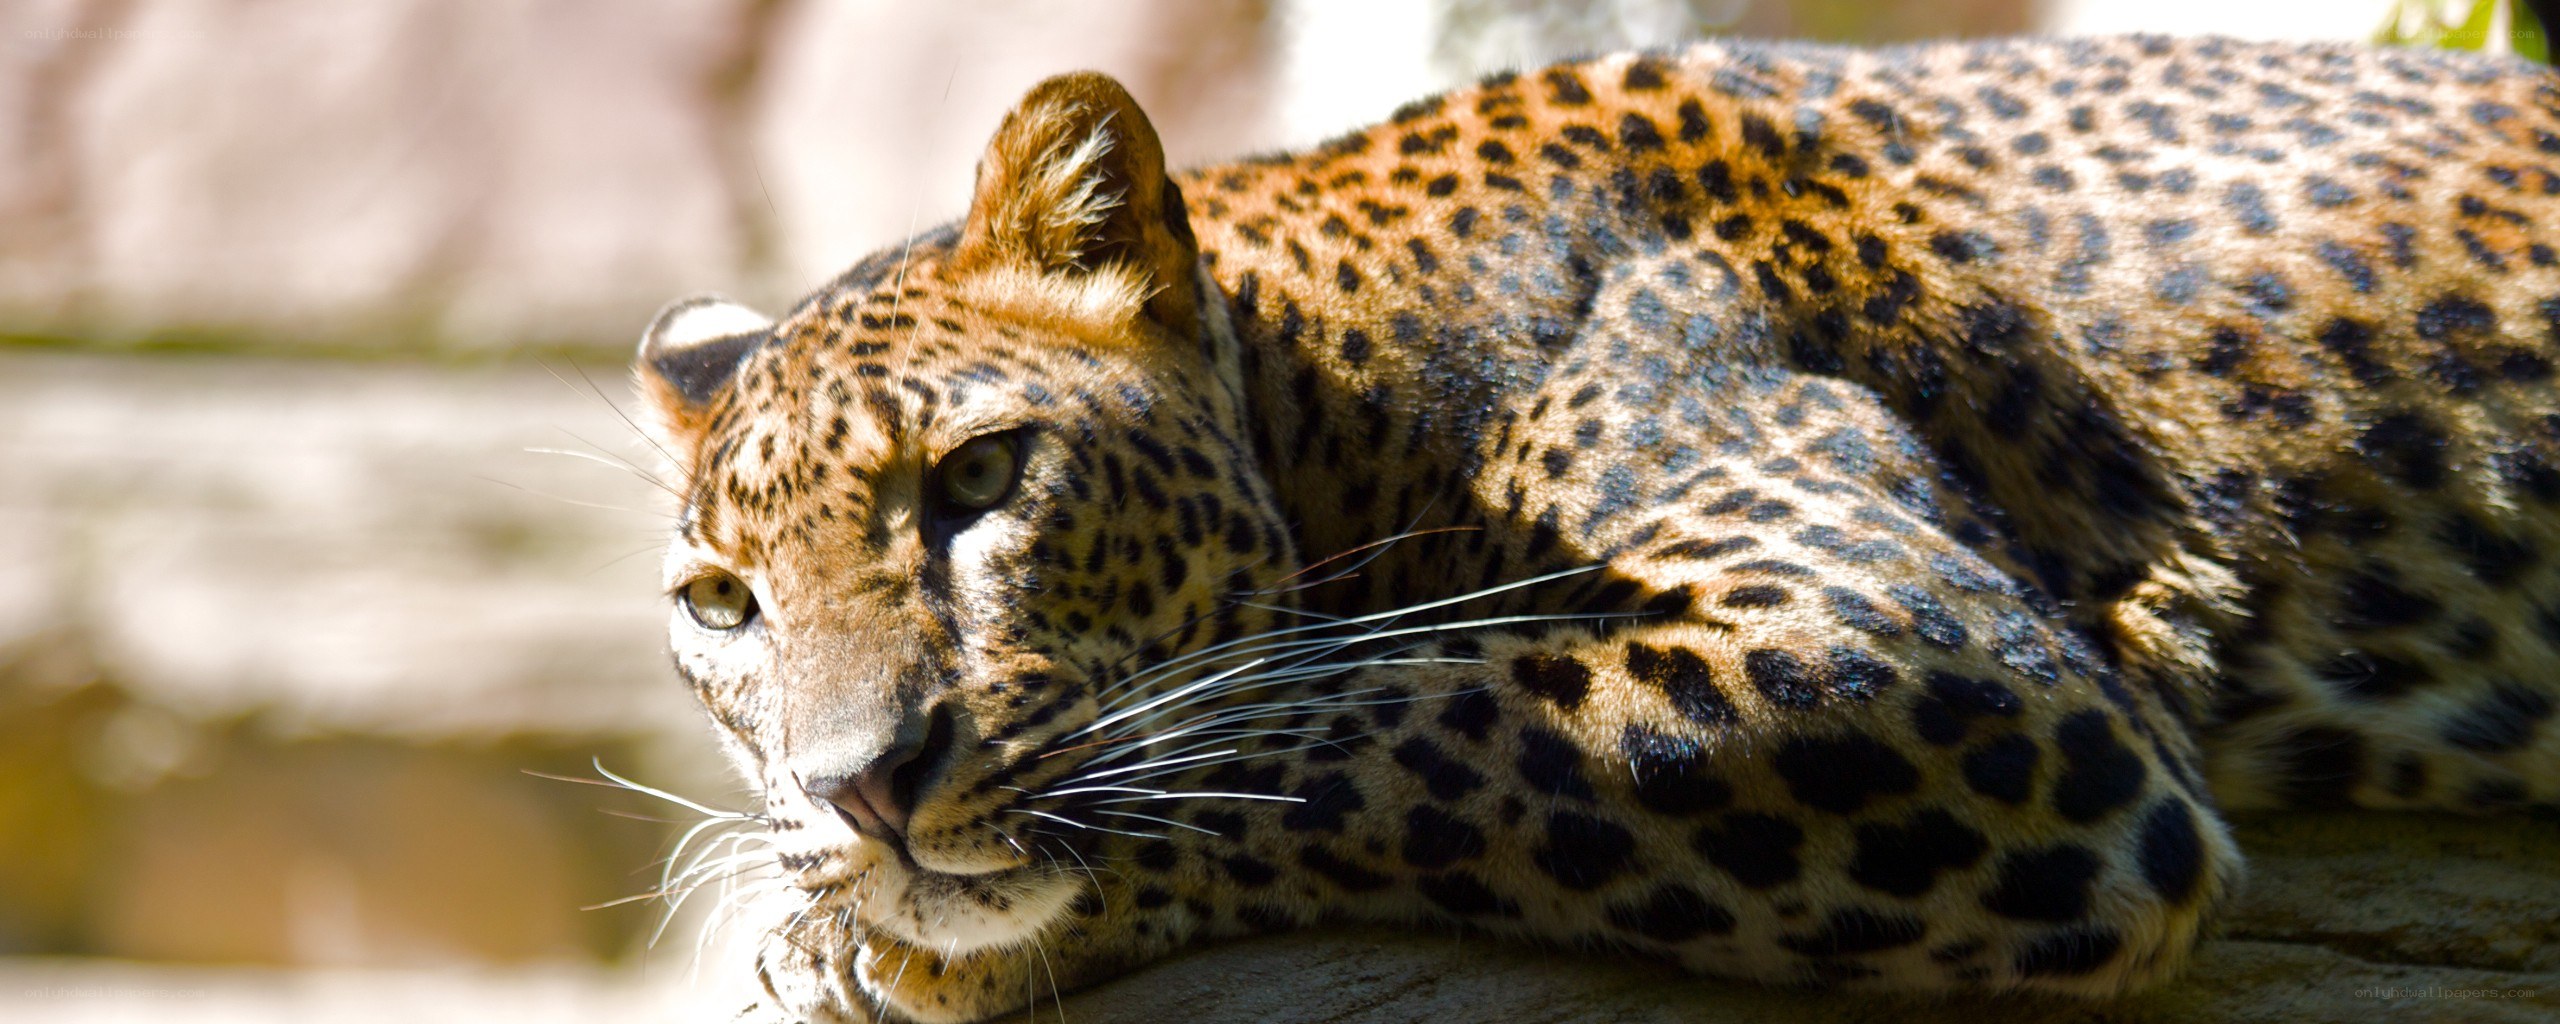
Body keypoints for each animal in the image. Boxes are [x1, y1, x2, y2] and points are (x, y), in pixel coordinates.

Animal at [628, 34, 2560, 1024]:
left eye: (976, 480)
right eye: (722, 604)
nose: (860, 790)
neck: (1345, 381)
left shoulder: (1926, 659)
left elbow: (1402, 718)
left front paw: (871, 935)